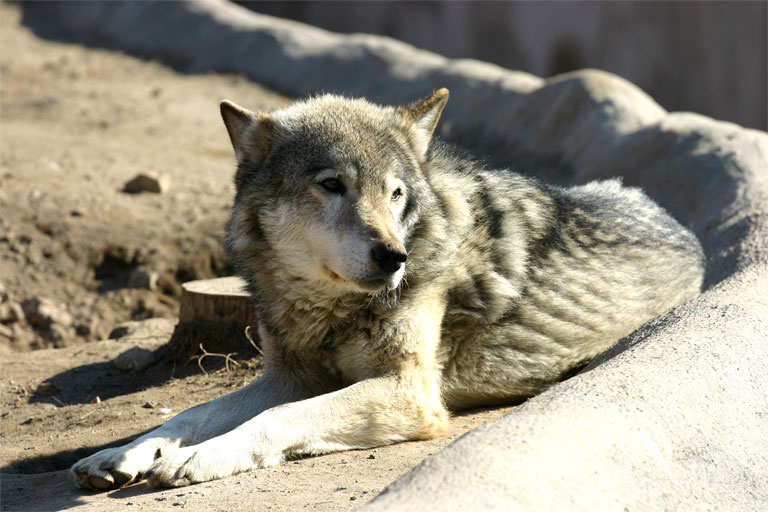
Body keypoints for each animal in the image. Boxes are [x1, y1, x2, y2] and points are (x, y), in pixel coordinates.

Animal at [72, 89, 705, 490]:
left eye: (396, 193)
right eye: (332, 185)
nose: (395, 257)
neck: (327, 309)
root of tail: (689, 233)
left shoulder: (409, 392)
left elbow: (276, 419)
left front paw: (201, 458)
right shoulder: (290, 375)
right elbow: (189, 414)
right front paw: (125, 452)